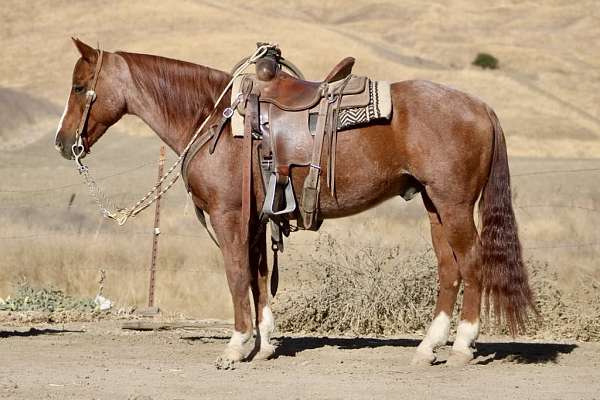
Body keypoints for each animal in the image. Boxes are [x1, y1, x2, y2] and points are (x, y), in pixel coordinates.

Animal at [55, 39, 536, 368]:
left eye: (79, 86)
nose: (63, 143)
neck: (212, 121)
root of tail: (481, 107)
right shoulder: (255, 219)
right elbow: (258, 276)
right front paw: (265, 343)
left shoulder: (229, 216)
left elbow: (236, 276)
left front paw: (235, 347)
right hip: (435, 205)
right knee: (449, 269)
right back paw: (427, 347)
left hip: (454, 205)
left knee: (472, 263)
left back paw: (462, 347)